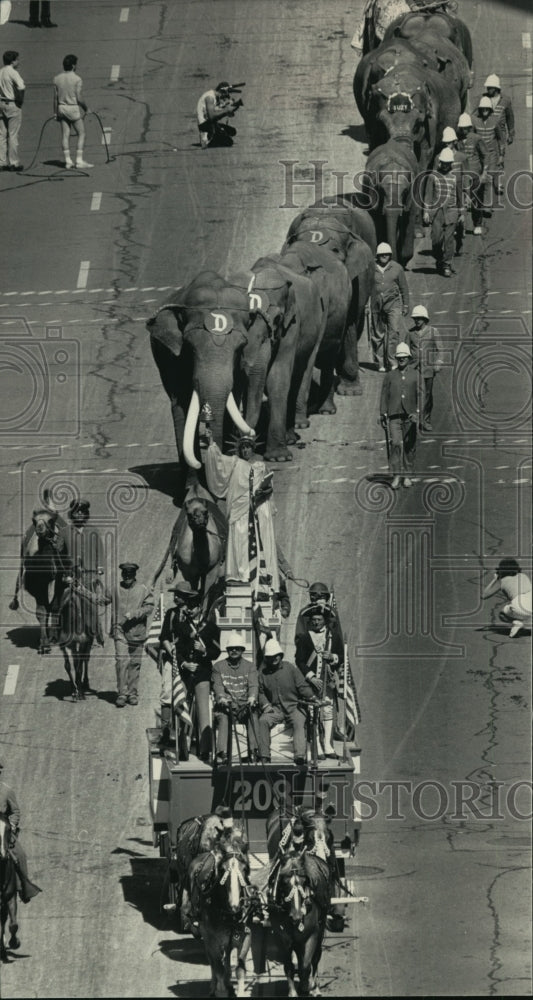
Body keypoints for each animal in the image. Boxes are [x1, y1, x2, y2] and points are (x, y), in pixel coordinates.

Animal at [145, 272, 262, 498]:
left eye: (240, 347)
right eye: (190, 347)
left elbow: (230, 402)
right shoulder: (171, 358)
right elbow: (181, 405)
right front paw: (194, 493)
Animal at [230, 258, 328, 460]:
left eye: (276, 319)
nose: (245, 447)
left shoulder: (292, 323)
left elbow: (277, 376)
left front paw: (279, 458)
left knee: (299, 376)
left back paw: (290, 437)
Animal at [358, 139, 420, 270]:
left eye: (405, 191)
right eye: (381, 190)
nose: (390, 258)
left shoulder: (413, 193)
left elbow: (408, 218)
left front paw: (404, 259)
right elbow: (379, 222)